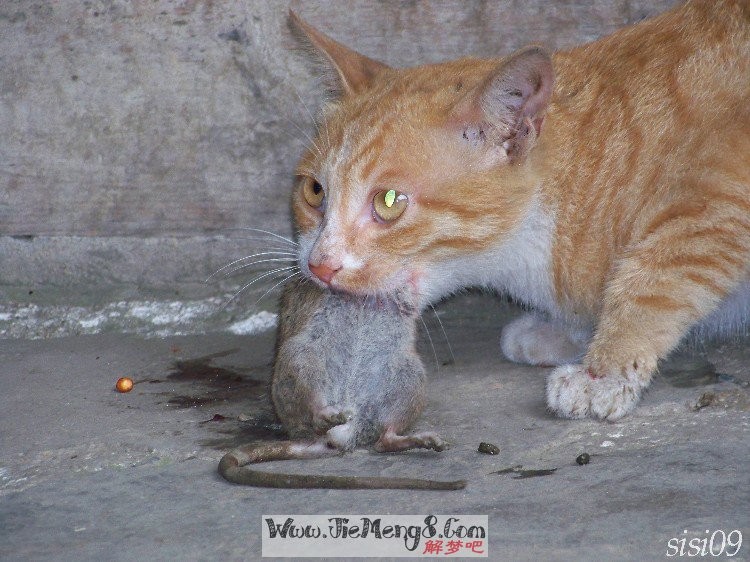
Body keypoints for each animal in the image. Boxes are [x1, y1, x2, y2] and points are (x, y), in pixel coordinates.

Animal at [288, 2, 750, 418]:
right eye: (314, 191)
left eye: (389, 202)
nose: (319, 265)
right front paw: (568, 332)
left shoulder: (723, 197)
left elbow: (656, 276)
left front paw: (605, 371)